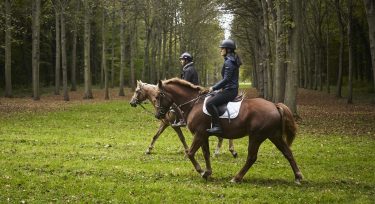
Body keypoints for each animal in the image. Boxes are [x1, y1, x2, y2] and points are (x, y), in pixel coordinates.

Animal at [154, 77, 304, 183]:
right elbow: (206, 153)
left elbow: (190, 153)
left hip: (256, 136)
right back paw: (298, 177)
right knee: (288, 153)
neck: (193, 103)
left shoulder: (199, 134)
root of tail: (274, 105)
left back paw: (236, 178)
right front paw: (207, 172)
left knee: (252, 157)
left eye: (159, 95)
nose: (158, 115)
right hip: (274, 135)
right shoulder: (204, 135)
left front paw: (201, 171)